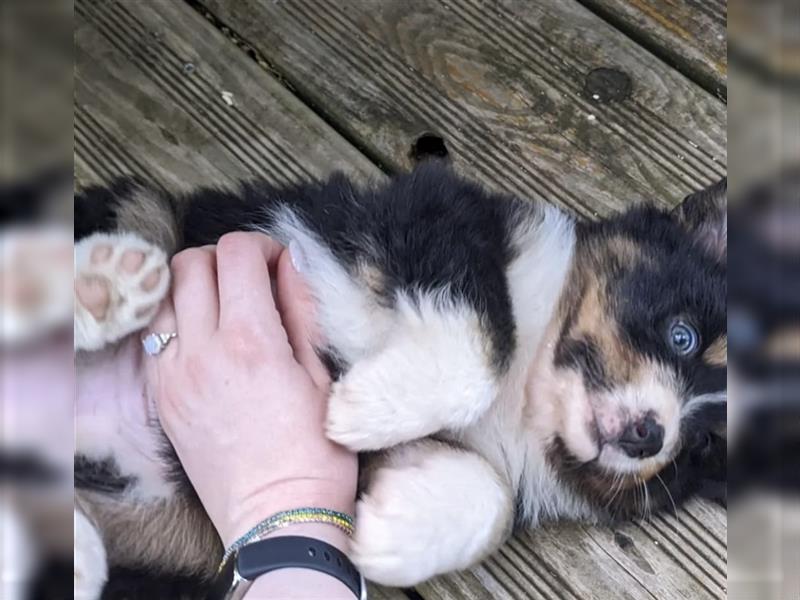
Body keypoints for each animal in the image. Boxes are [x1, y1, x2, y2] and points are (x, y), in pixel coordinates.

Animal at [72, 162, 728, 596]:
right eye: (683, 336)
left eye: (704, 444)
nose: (650, 436)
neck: (531, 391)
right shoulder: (433, 211)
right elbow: (482, 341)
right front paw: (364, 408)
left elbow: (492, 494)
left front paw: (389, 537)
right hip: (152, 211)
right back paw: (102, 288)